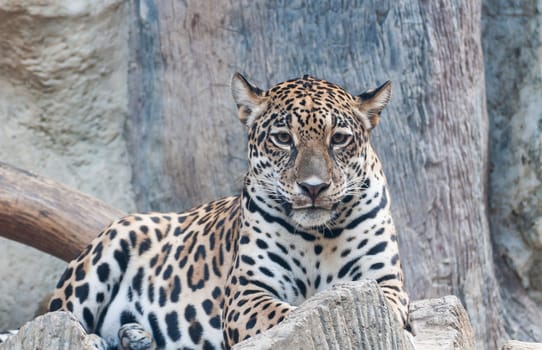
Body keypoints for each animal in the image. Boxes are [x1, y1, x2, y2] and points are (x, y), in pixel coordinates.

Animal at [49, 72, 412, 348]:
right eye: (283, 138)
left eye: (338, 138)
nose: (313, 187)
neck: (317, 237)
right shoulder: (246, 292)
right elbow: (288, 316)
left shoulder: (385, 283)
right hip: (114, 240)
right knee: (58, 318)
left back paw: (135, 336)